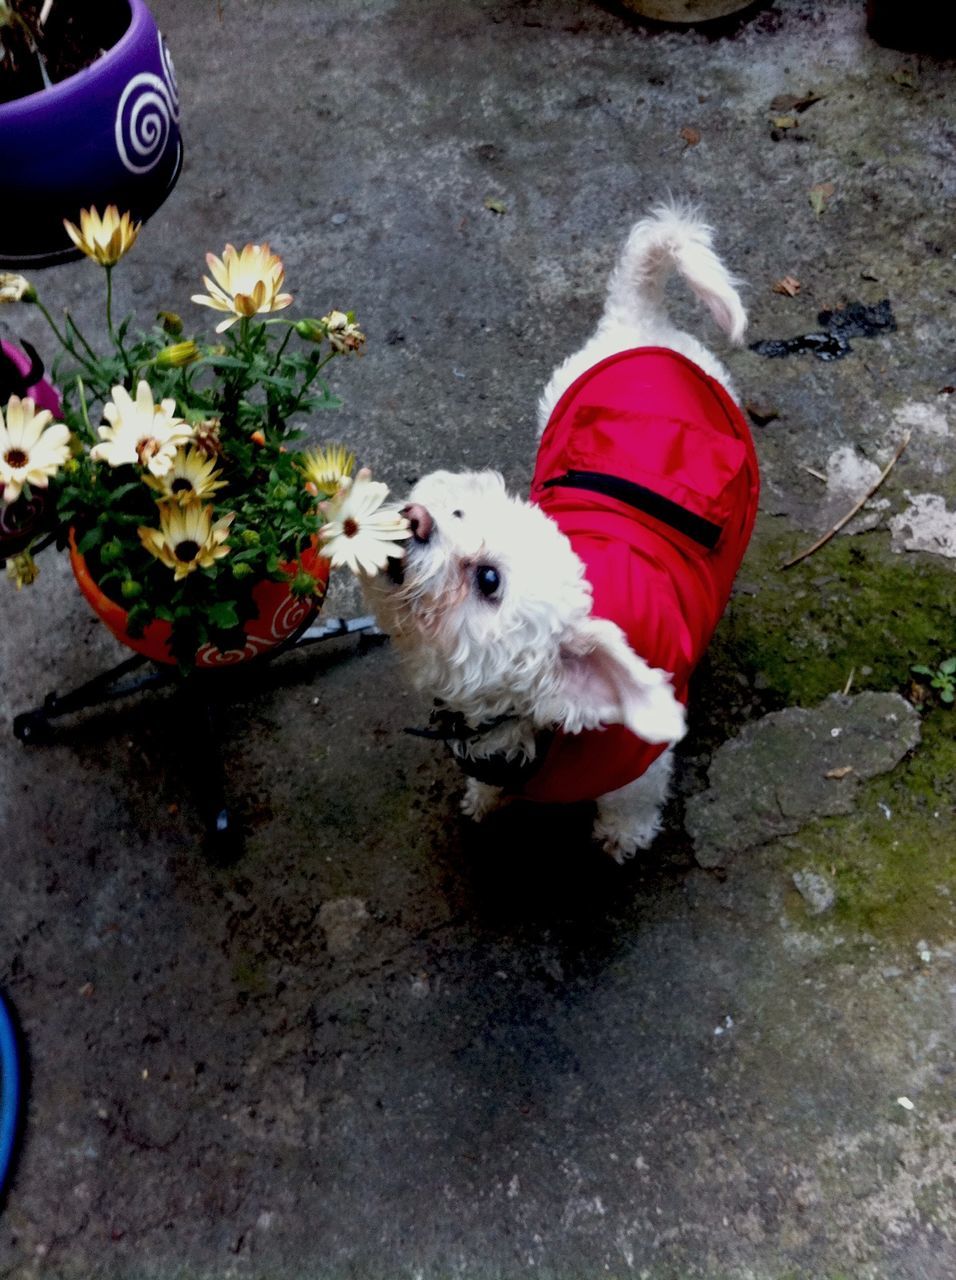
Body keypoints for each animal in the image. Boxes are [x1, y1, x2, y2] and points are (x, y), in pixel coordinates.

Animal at [366, 202, 762, 860]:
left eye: (489, 580)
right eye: (457, 515)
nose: (414, 518)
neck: (523, 719)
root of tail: (643, 320)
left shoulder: (640, 761)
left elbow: (630, 801)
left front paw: (623, 837)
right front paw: (486, 798)